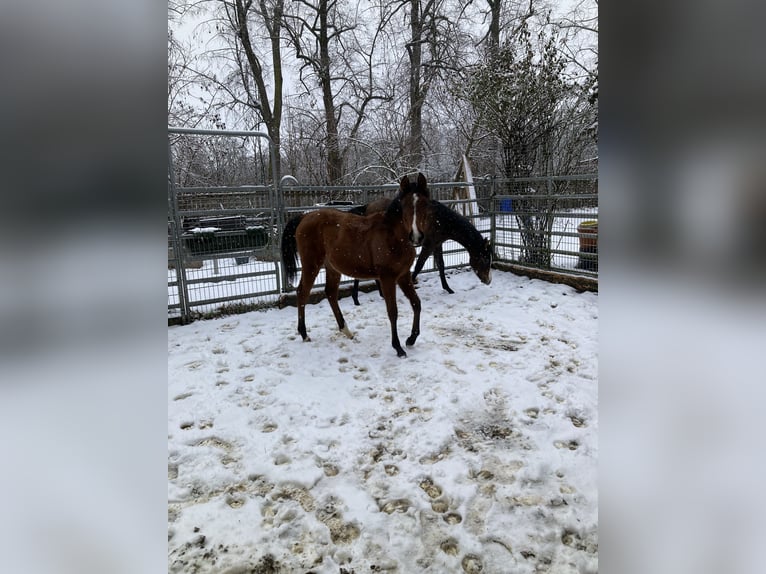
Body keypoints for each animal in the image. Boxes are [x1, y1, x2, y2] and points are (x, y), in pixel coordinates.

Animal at [281, 173, 431, 357]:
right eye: (405, 206)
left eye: (424, 204)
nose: (416, 236)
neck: (393, 236)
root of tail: (304, 217)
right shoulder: (387, 278)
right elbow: (393, 311)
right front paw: (398, 347)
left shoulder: (403, 275)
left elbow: (416, 303)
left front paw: (411, 339)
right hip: (311, 265)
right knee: (302, 293)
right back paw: (304, 334)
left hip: (332, 268)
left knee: (330, 293)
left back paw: (346, 331)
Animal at [349, 198, 492, 305]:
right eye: (485, 260)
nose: (488, 281)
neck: (441, 219)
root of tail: (367, 207)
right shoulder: (428, 246)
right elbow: (419, 265)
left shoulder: (437, 245)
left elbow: (441, 265)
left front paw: (448, 288)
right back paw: (356, 298)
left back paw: (373, 295)